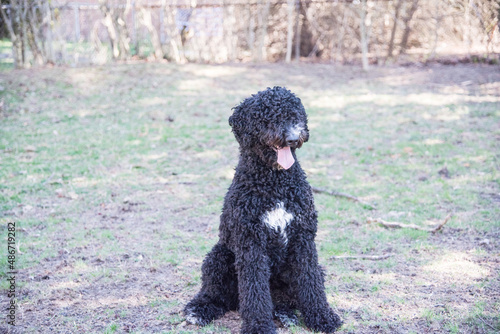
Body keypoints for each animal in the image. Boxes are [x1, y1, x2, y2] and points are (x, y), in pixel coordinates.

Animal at [185, 87, 344, 332]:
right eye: (269, 118)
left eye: (295, 115)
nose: (293, 137)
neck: (275, 183)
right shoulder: (251, 243)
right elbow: (255, 290)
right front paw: (258, 326)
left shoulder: (303, 239)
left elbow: (310, 283)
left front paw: (322, 316)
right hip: (218, 257)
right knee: (218, 296)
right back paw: (200, 309)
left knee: (284, 299)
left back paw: (285, 313)